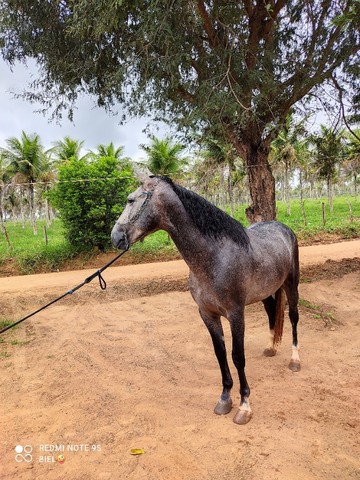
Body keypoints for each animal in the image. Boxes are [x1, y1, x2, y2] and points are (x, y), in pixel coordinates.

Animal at [110, 175, 300, 424]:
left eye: (131, 199)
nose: (115, 237)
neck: (214, 258)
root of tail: (284, 228)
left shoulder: (236, 314)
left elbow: (237, 357)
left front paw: (244, 406)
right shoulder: (207, 314)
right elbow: (220, 354)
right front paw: (224, 399)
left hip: (291, 284)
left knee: (294, 317)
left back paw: (295, 360)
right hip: (267, 291)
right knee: (271, 312)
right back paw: (270, 347)